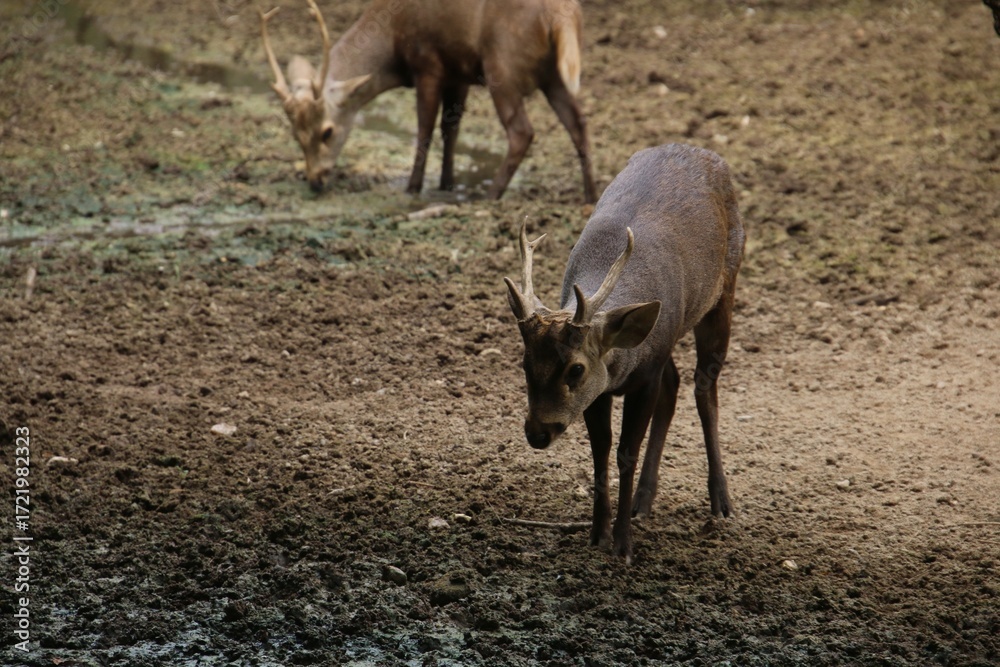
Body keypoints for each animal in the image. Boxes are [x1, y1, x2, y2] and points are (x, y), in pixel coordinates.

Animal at [259, 0, 596, 202]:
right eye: (295, 135)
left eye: (327, 132)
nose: (314, 180)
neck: (392, 42)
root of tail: (562, 16)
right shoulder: (458, 73)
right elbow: (451, 131)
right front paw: (447, 183)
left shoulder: (428, 64)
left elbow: (424, 131)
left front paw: (413, 188)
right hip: (553, 73)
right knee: (578, 121)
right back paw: (591, 194)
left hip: (503, 65)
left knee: (522, 131)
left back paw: (491, 194)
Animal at [504, 143, 745, 563]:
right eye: (524, 363)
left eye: (576, 369)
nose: (537, 432)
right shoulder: (603, 390)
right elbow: (601, 450)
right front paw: (597, 534)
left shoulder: (643, 377)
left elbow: (626, 451)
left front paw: (623, 544)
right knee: (675, 383)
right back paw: (643, 502)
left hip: (723, 291)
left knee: (705, 390)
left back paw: (721, 501)